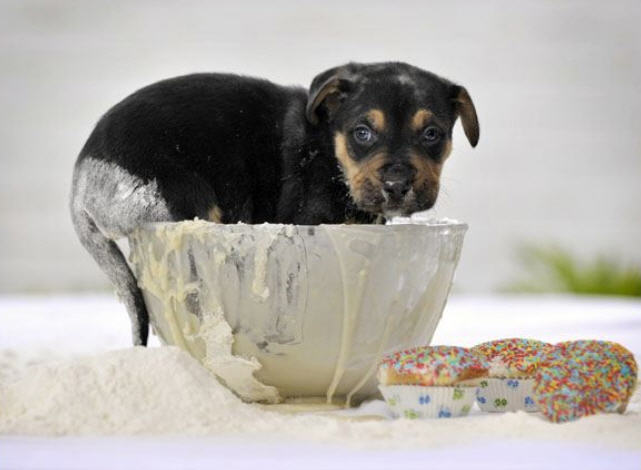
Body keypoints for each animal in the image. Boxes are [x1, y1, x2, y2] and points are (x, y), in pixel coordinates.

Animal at [72, 62, 478, 346]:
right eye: (362, 133)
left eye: (432, 134)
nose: (397, 184)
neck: (331, 151)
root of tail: (80, 186)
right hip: (183, 197)